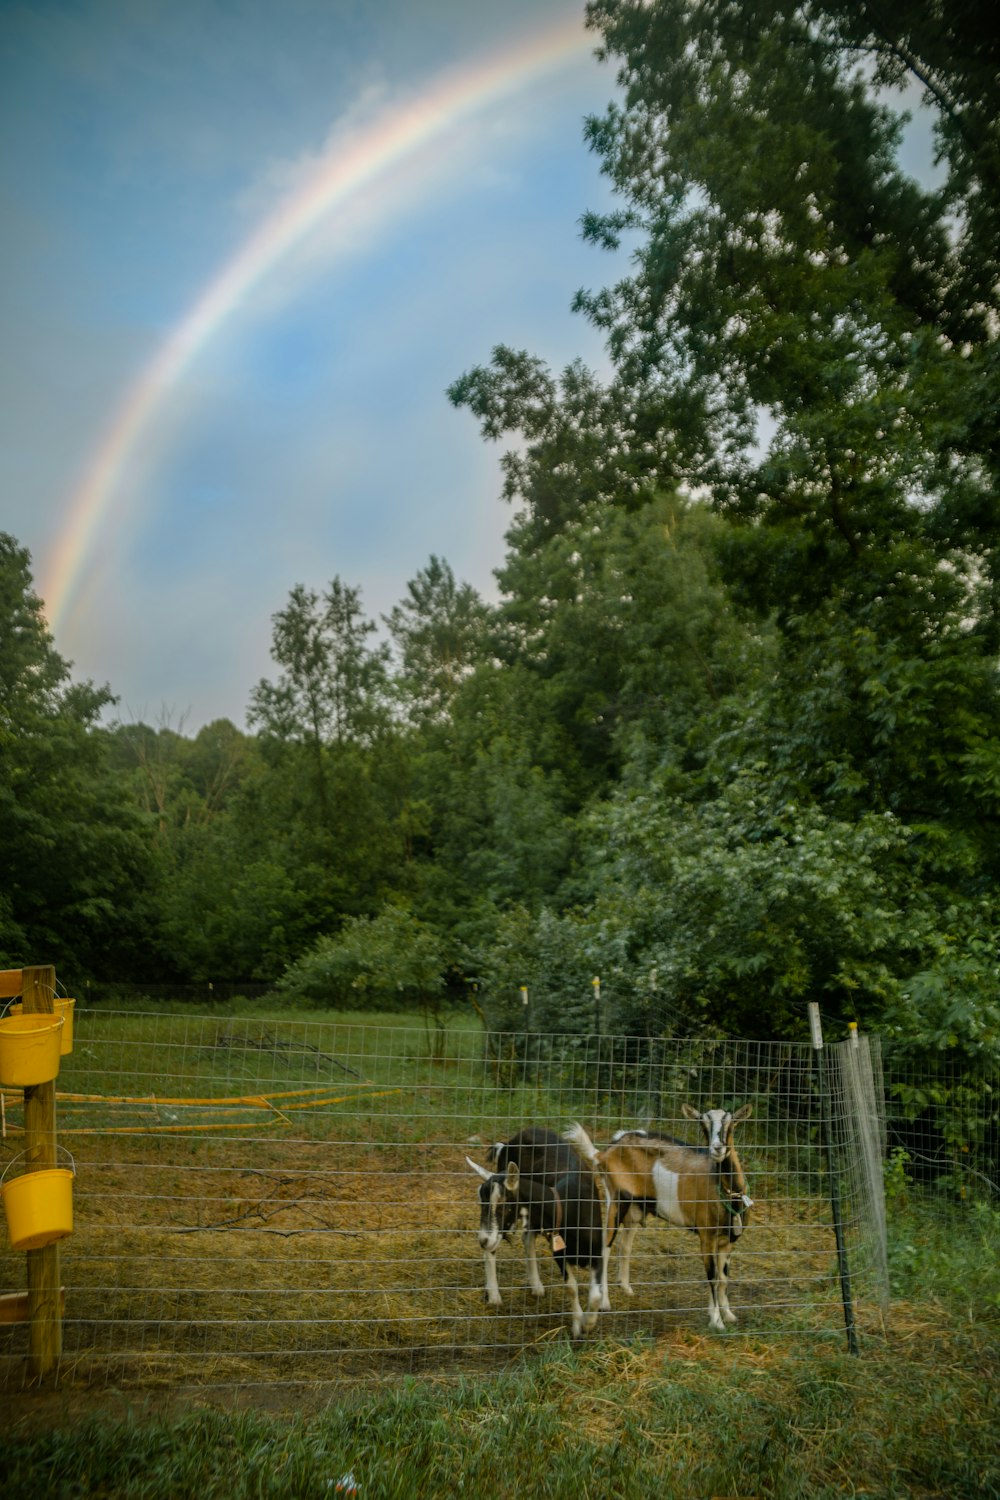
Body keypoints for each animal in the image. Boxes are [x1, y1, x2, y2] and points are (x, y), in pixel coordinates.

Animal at [566, 1104, 755, 1338]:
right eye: (703, 1125)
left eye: (732, 1124)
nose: (717, 1149)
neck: (727, 1193)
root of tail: (605, 1152)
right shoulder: (707, 1236)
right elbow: (712, 1276)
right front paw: (716, 1321)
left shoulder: (729, 1241)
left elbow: (723, 1278)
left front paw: (728, 1314)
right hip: (616, 1200)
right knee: (605, 1247)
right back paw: (604, 1303)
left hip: (635, 1209)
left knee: (624, 1246)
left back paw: (626, 1288)